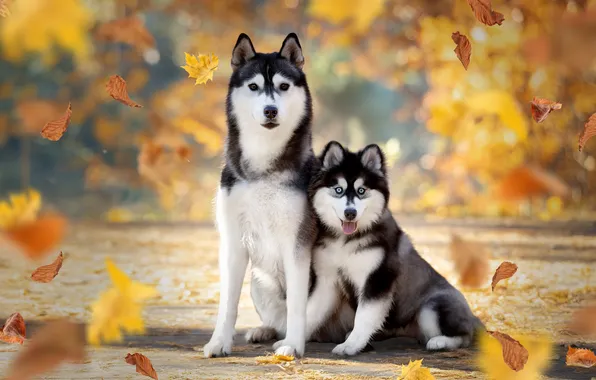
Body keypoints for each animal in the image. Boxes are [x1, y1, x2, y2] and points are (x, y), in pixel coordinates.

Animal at [203, 34, 318, 358]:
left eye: (283, 86)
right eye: (254, 86)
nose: (270, 110)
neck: (263, 166)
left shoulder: (297, 242)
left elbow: (297, 304)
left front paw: (293, 345)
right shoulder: (232, 241)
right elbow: (227, 304)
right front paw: (219, 342)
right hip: (258, 280)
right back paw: (266, 330)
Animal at [304, 142, 482, 356]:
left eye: (362, 190)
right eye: (338, 189)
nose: (350, 213)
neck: (346, 241)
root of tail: (473, 318)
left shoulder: (377, 279)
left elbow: (363, 318)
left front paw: (350, 345)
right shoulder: (327, 280)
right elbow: (311, 312)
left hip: (431, 308)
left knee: (464, 336)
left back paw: (440, 341)